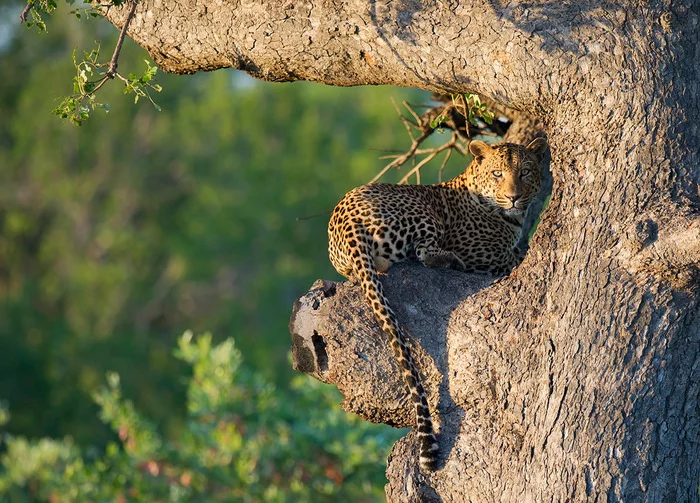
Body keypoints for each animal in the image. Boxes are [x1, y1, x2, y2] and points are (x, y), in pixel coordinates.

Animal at [326, 138, 548, 472]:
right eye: (497, 173)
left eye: (525, 172)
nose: (513, 196)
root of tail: (347, 218)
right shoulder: (486, 255)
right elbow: (517, 256)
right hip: (422, 212)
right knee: (424, 253)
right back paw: (449, 260)